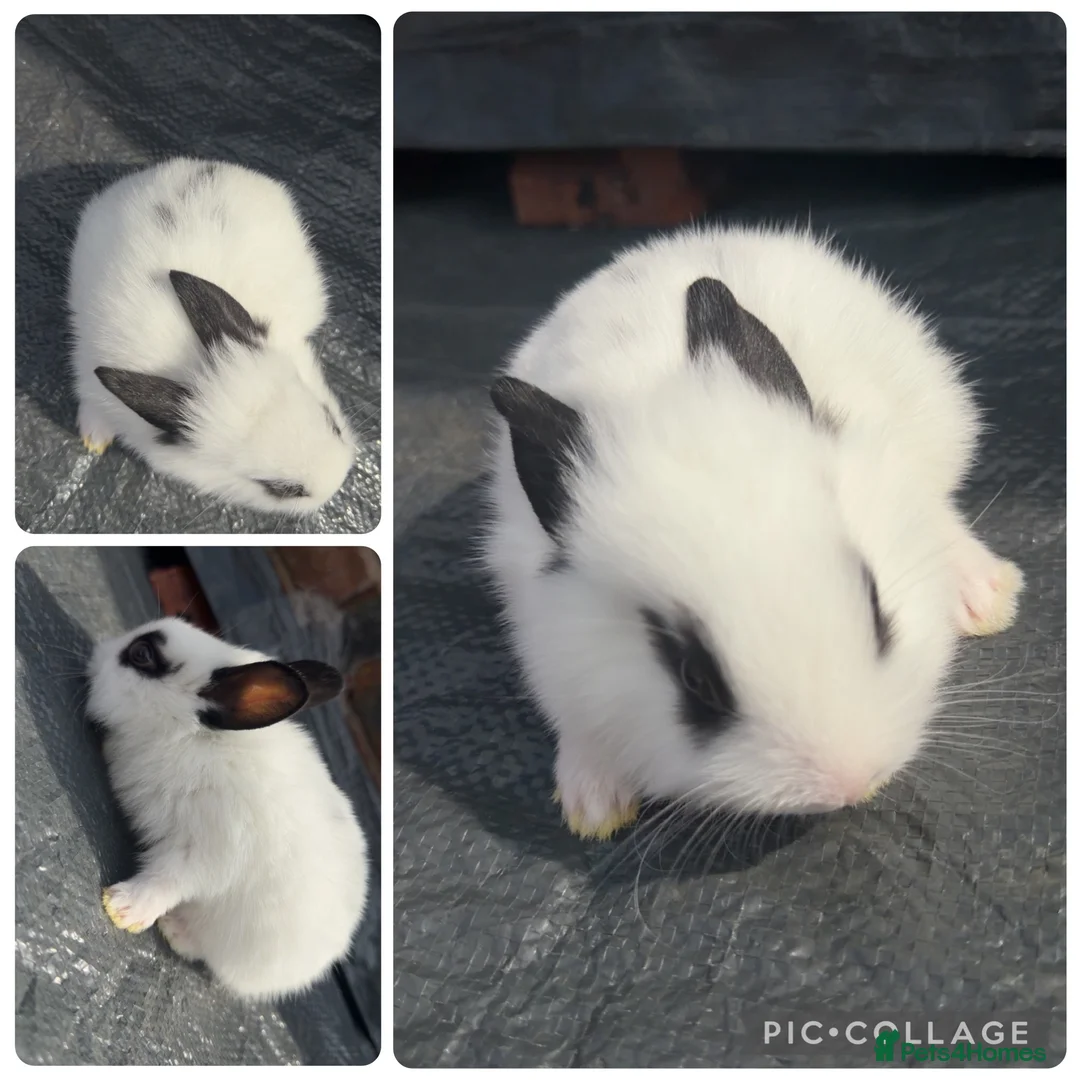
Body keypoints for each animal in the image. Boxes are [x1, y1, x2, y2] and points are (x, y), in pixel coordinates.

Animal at [87, 616, 369, 1001]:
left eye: (141, 655)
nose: (96, 653)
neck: (193, 738)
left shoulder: (208, 851)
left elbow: (167, 881)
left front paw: (122, 909)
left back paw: (175, 931)